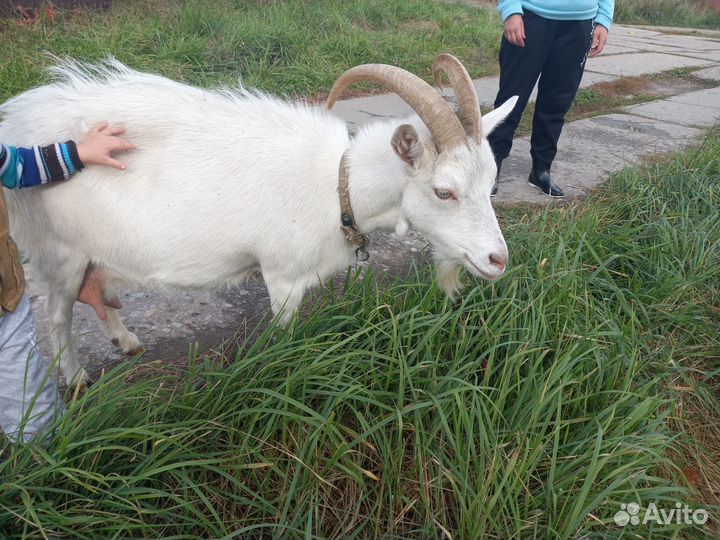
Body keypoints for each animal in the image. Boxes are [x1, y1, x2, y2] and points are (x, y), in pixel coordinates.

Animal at [0, 54, 517, 388]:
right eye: (444, 191)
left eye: (491, 182)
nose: (498, 260)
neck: (338, 185)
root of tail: (19, 121)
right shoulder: (283, 275)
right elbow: (285, 334)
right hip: (59, 249)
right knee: (58, 313)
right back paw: (75, 378)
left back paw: (126, 342)